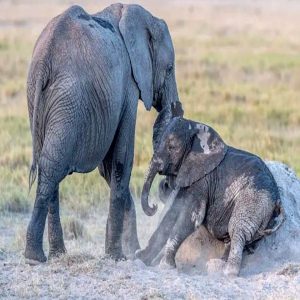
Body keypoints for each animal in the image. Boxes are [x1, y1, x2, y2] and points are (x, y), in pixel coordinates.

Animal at [25, 3, 179, 264]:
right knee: (53, 165)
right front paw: (118, 257)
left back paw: (56, 255)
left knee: (50, 166)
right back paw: (35, 257)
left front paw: (131, 252)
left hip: (39, 97)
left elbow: (108, 168)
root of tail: (46, 57)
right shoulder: (128, 84)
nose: (155, 206)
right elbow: (121, 160)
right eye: (169, 69)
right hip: (69, 100)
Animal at [137, 116, 284, 276]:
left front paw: (165, 266)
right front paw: (140, 258)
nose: (153, 206)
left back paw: (227, 272)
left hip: (254, 201)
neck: (197, 128)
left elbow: (192, 218)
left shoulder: (203, 179)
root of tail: (278, 201)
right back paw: (217, 265)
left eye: (172, 147)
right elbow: (171, 214)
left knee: (238, 231)